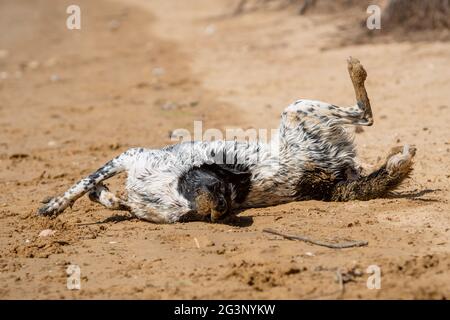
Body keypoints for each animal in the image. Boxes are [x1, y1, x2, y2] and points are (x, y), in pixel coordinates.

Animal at [37, 58, 414, 222]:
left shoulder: (131, 157)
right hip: (302, 119)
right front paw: (86, 198)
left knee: (365, 117)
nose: (221, 207)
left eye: (223, 189)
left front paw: (58, 204)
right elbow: (92, 188)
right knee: (365, 127)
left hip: (300, 113)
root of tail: (322, 176)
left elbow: (86, 184)